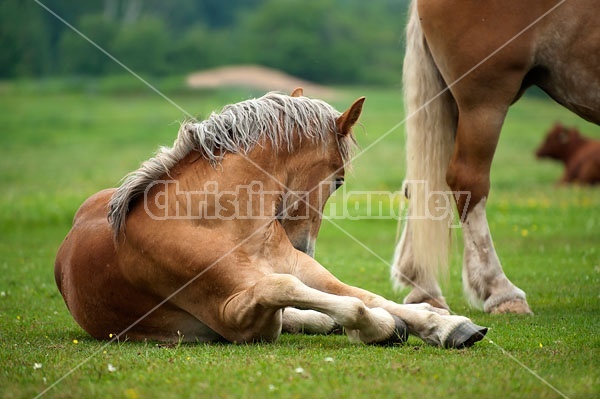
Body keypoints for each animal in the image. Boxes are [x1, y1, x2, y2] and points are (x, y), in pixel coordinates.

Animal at [55, 89, 488, 348]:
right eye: (339, 180)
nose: (304, 244)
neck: (218, 225)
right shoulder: (237, 318)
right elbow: (288, 289)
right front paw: (383, 327)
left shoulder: (301, 266)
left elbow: (361, 294)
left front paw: (443, 323)